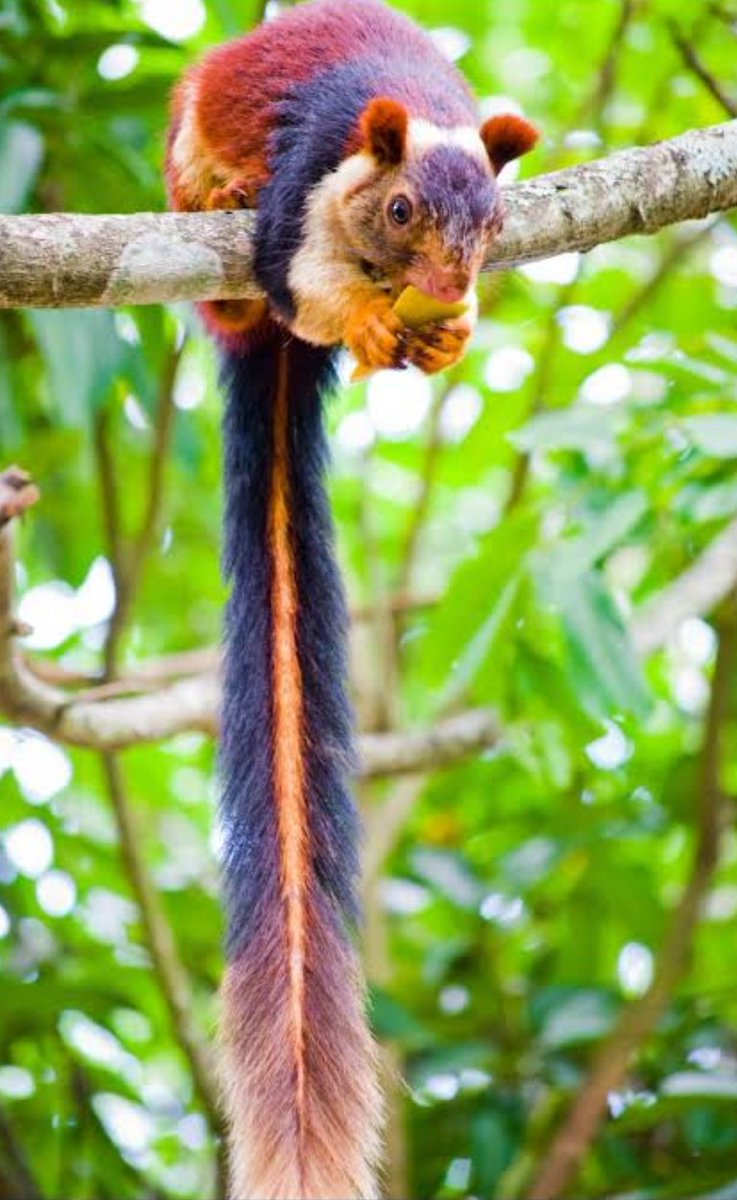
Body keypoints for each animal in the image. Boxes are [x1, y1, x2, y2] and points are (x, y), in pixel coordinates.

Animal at [167, 1, 538, 1196]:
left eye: (494, 224)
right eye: (401, 208)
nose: (449, 285)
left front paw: (451, 334)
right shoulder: (306, 195)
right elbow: (304, 285)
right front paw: (372, 327)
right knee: (240, 286)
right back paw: (218, 212)